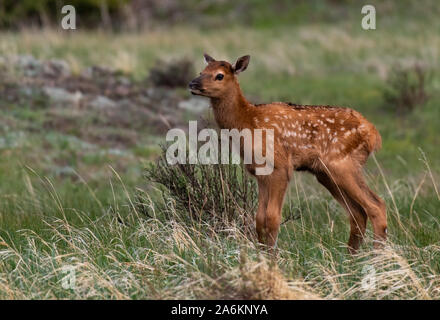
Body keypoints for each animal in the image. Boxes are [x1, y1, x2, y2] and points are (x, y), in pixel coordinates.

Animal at [187, 53, 386, 254]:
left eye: (219, 75)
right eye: (202, 71)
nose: (192, 84)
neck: (248, 122)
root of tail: (373, 134)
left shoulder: (281, 166)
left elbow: (272, 218)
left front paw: (272, 257)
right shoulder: (260, 172)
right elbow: (259, 219)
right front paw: (262, 254)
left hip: (341, 163)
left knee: (376, 205)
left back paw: (377, 255)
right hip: (325, 173)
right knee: (358, 212)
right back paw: (351, 257)